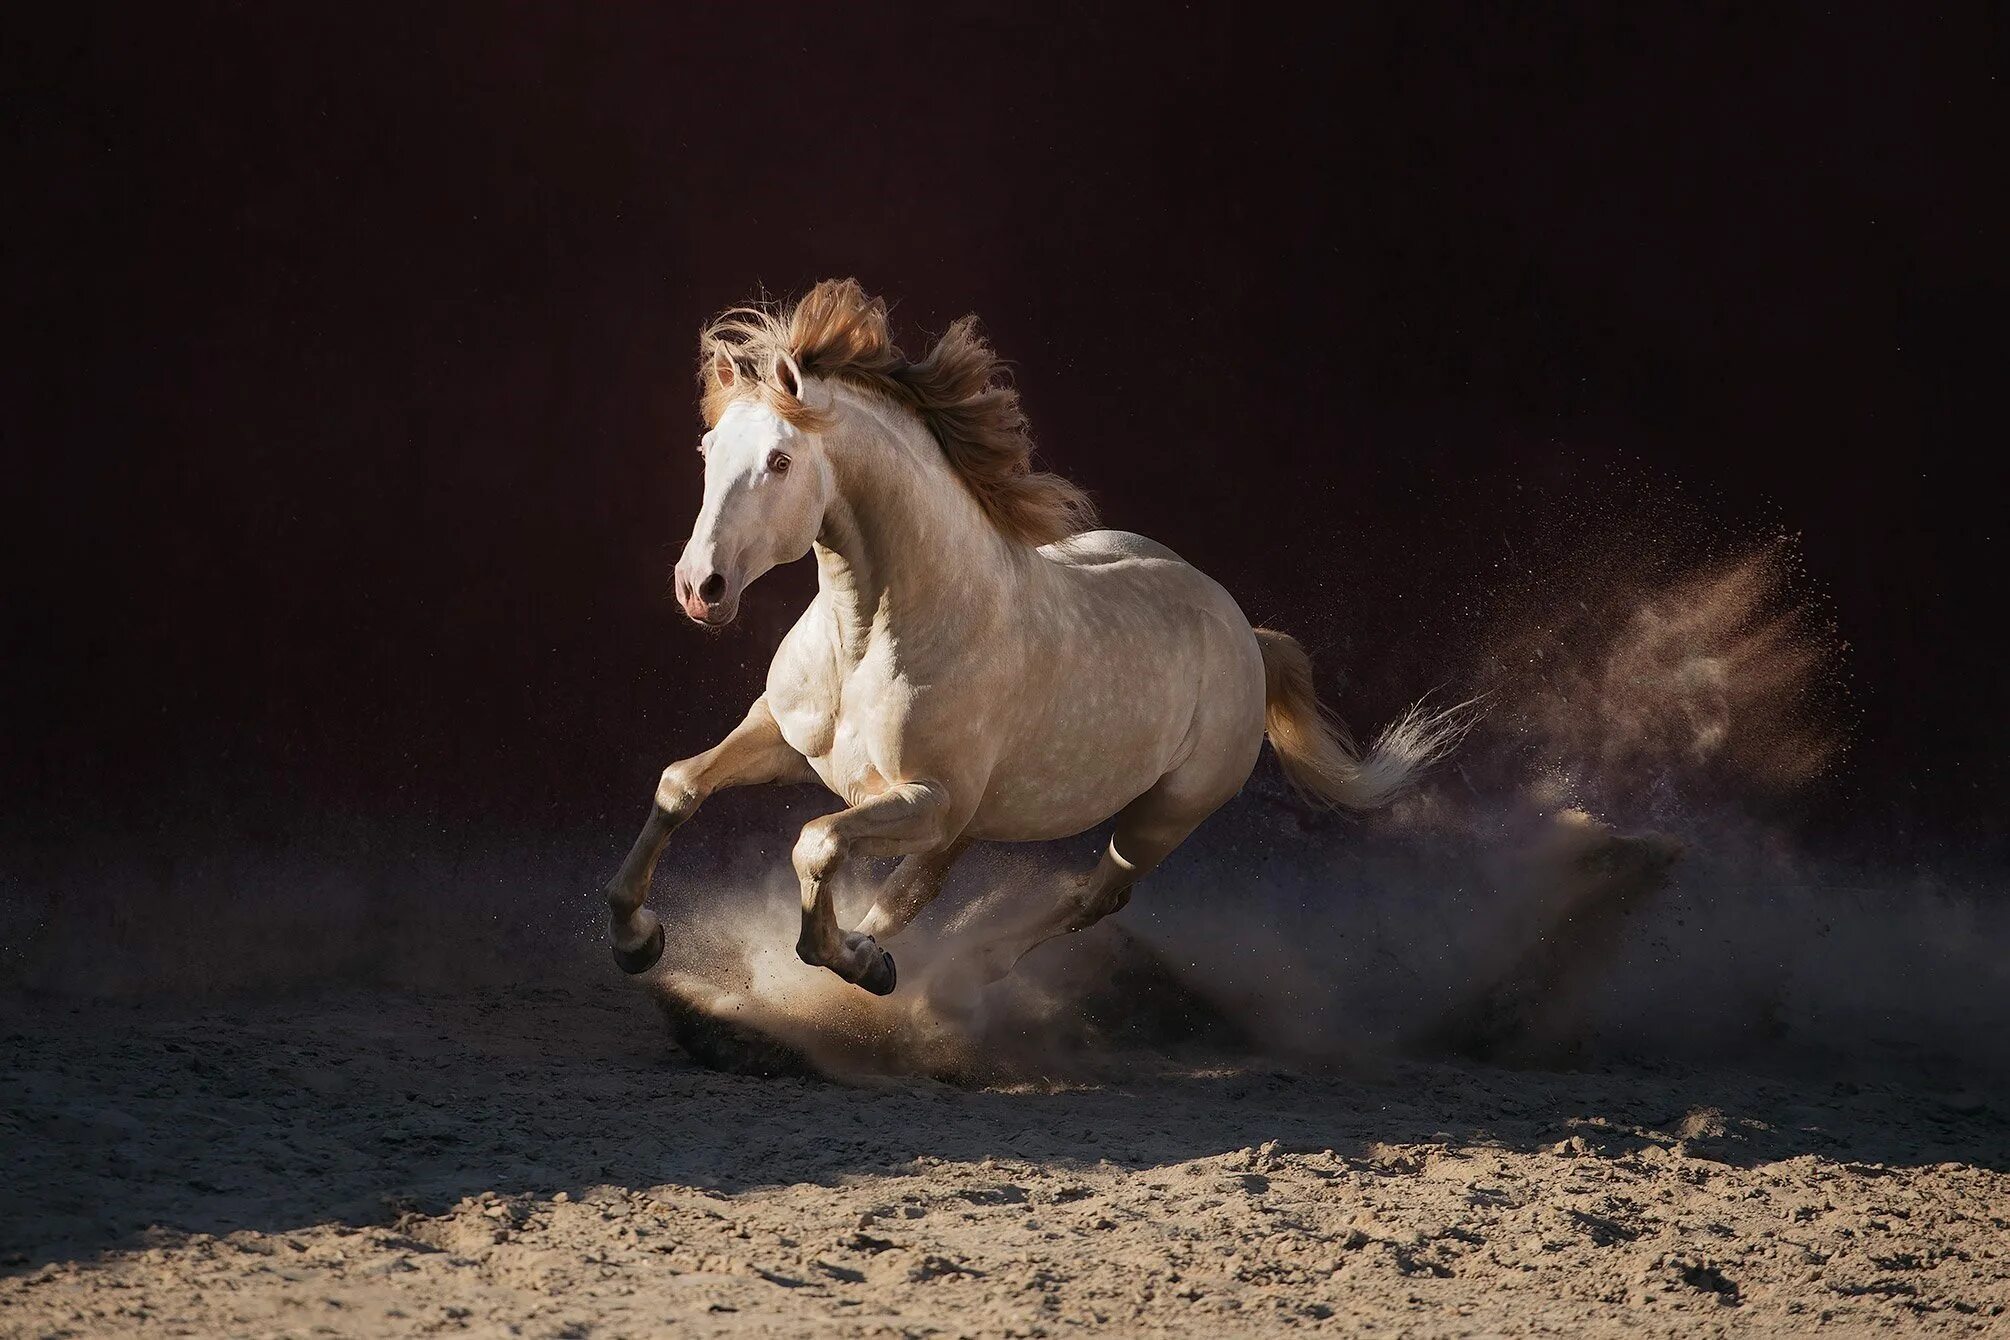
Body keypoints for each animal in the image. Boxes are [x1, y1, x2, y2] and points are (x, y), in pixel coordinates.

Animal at [603, 281, 1471, 996]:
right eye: (707, 451)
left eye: (781, 461)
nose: (701, 587)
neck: (873, 640)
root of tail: (1244, 635)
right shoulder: (785, 739)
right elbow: (680, 785)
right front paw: (636, 940)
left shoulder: (924, 799)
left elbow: (814, 845)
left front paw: (856, 959)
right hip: (982, 817)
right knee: (924, 886)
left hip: (1161, 815)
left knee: (1093, 893)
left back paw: (957, 966)